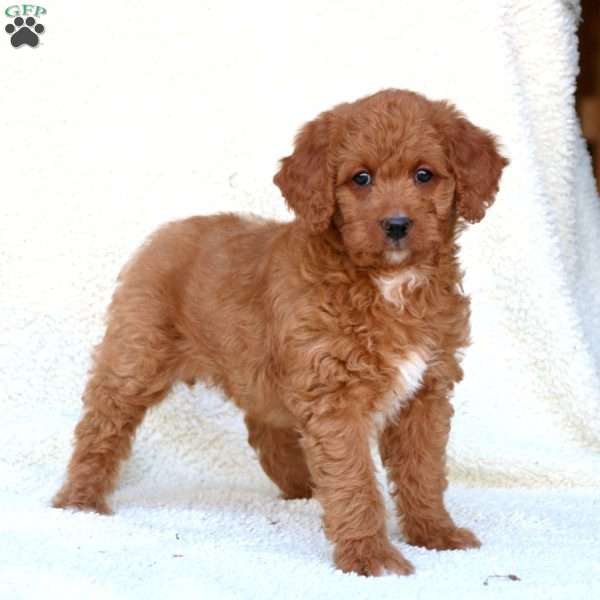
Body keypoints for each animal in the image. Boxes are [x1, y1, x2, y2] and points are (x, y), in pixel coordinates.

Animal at [53, 89, 507, 576]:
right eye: (360, 178)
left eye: (424, 175)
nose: (397, 225)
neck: (389, 285)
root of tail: (170, 230)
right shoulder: (336, 397)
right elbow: (354, 481)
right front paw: (370, 556)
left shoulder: (426, 392)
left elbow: (423, 470)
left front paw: (435, 533)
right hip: (136, 356)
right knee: (102, 425)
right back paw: (80, 501)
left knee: (266, 429)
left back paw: (303, 488)